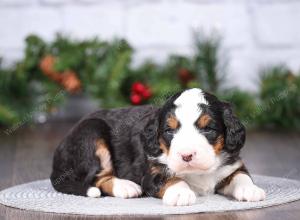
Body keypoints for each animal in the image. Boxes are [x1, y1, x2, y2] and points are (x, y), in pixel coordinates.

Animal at [50, 88, 266, 206]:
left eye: (208, 128)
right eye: (169, 131)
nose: (186, 155)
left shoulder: (232, 164)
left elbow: (241, 175)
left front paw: (251, 190)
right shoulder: (152, 173)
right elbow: (171, 178)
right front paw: (180, 192)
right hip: (92, 131)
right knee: (98, 177)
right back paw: (126, 187)